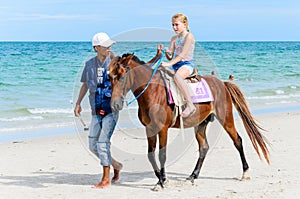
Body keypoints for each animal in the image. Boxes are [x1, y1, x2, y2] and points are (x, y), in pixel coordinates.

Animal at [108, 49, 270, 188]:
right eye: (109, 77)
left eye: (122, 76)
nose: (115, 104)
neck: (153, 91)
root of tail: (222, 84)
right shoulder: (150, 129)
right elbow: (151, 155)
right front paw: (160, 179)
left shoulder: (163, 129)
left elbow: (162, 154)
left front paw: (162, 181)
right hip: (201, 124)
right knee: (204, 147)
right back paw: (193, 176)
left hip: (226, 119)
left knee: (238, 141)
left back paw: (245, 172)